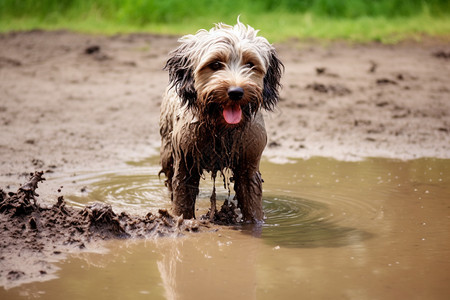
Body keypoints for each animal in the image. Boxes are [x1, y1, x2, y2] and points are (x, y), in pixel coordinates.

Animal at [160, 20, 284, 223]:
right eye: (216, 64)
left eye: (250, 64)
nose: (236, 92)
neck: (220, 129)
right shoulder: (185, 162)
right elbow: (182, 198)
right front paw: (180, 221)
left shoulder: (248, 164)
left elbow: (252, 203)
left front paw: (255, 225)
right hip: (167, 151)